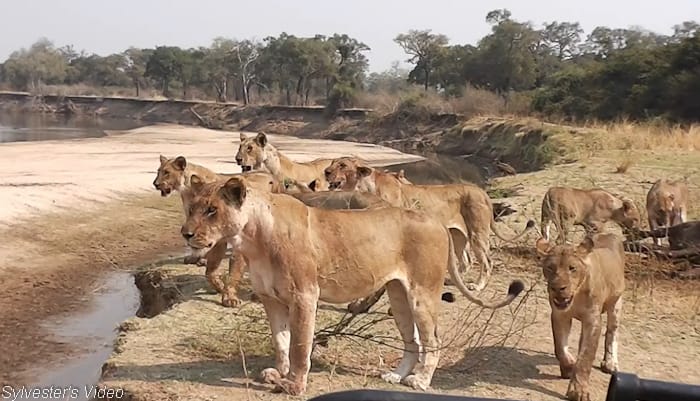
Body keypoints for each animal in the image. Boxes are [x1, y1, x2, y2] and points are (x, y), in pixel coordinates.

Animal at [180, 175, 525, 396]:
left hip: (422, 293)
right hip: (399, 295)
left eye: (212, 210)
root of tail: (435, 221)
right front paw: (277, 374)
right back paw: (397, 376)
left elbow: (299, 344)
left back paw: (420, 381)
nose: (185, 233)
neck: (251, 237)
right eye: (191, 208)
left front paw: (294, 385)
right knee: (412, 339)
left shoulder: (305, 295)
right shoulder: (271, 299)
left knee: (432, 339)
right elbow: (280, 341)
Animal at [323, 156, 535, 291]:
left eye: (342, 165)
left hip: (477, 233)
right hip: (458, 236)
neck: (364, 186)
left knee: (486, 261)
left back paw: (477, 285)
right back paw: (453, 280)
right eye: (331, 163)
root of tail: (482, 191)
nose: (325, 172)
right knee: (466, 261)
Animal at [535, 233, 626, 401]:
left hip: (616, 302)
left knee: (612, 331)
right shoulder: (560, 315)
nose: (557, 288)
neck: (577, 295)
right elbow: (560, 348)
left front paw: (578, 391)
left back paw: (610, 363)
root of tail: (609, 234)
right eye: (550, 267)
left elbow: (586, 357)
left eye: (572, 268)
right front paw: (569, 366)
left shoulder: (593, 320)